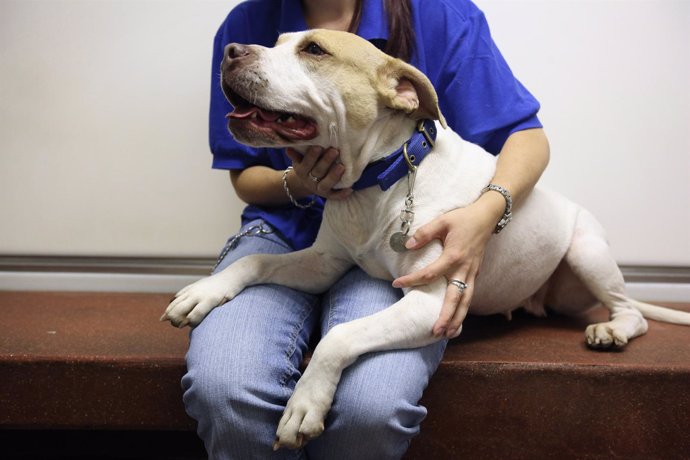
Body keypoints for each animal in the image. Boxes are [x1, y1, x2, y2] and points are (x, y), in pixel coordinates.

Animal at [163, 29, 688, 450]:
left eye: (314, 49)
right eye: (275, 41)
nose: (230, 51)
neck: (377, 181)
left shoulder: (431, 302)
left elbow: (339, 335)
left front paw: (305, 404)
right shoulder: (321, 263)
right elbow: (252, 263)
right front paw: (203, 291)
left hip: (586, 251)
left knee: (632, 311)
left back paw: (612, 330)